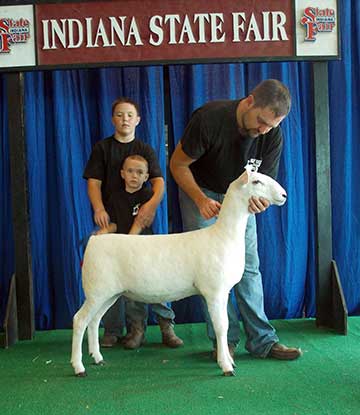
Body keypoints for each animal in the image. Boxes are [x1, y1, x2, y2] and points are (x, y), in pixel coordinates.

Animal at [70, 168, 286, 376]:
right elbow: (221, 327)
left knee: (94, 321)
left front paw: (228, 361)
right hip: (97, 290)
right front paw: (226, 366)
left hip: (109, 294)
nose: (284, 195)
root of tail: (93, 241)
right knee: (79, 320)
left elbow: (223, 326)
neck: (224, 236)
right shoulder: (214, 291)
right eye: (256, 181)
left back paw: (97, 358)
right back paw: (79, 367)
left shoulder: (223, 291)